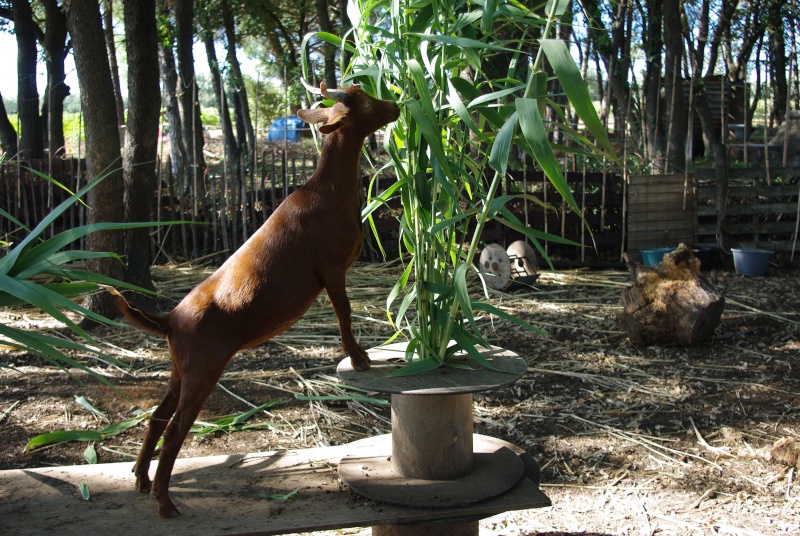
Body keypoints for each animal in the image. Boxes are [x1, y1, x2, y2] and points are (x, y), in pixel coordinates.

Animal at [118, 82, 400, 516]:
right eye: (367, 103)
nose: (397, 106)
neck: (328, 193)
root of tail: (168, 320)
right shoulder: (331, 267)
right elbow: (345, 311)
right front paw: (360, 359)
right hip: (202, 369)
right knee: (176, 430)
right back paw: (165, 502)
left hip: (180, 369)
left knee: (156, 419)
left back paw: (142, 481)